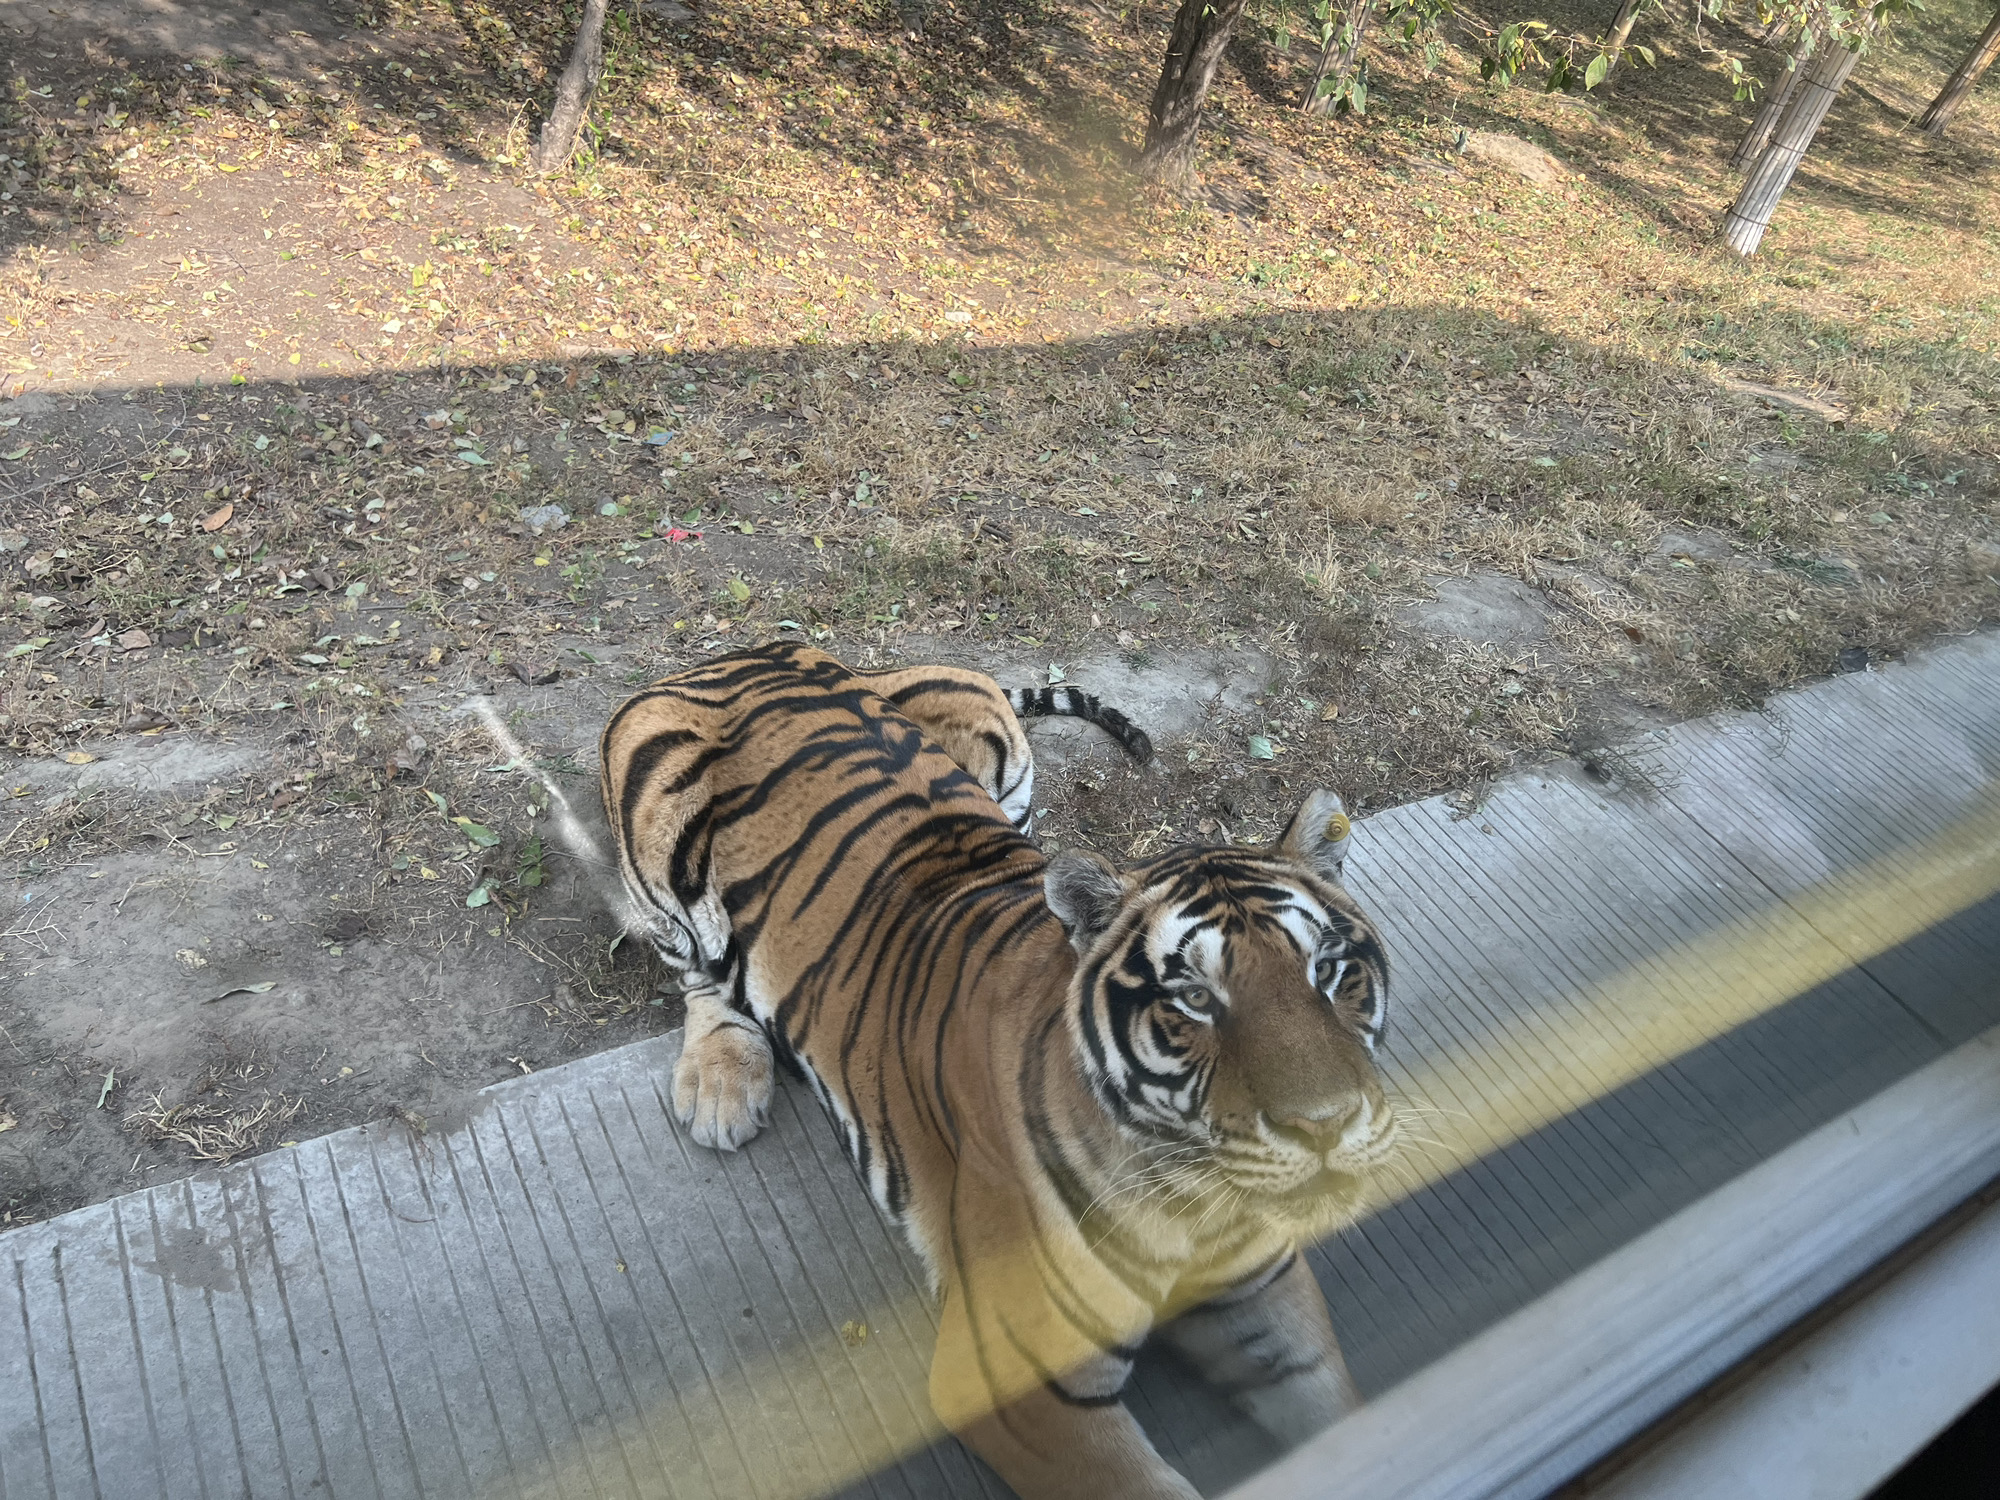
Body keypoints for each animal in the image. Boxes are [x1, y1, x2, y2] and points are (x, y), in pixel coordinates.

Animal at [600, 642, 1396, 1500]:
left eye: (1327, 971)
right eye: (1192, 999)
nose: (1327, 1126)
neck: (1193, 1198)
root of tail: (745, 650)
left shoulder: (1264, 1290)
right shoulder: (1015, 1382)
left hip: (998, 744)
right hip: (665, 849)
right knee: (697, 973)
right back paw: (722, 1085)